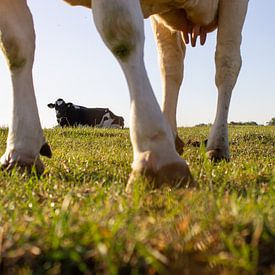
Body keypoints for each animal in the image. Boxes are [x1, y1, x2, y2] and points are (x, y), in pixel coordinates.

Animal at [0, 0, 250, 190]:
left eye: (66, 107)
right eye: (57, 107)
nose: (60, 117)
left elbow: (120, 31)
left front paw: (154, 154)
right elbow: (15, 46)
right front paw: (20, 152)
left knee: (227, 62)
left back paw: (218, 146)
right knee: (171, 63)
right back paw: (172, 136)